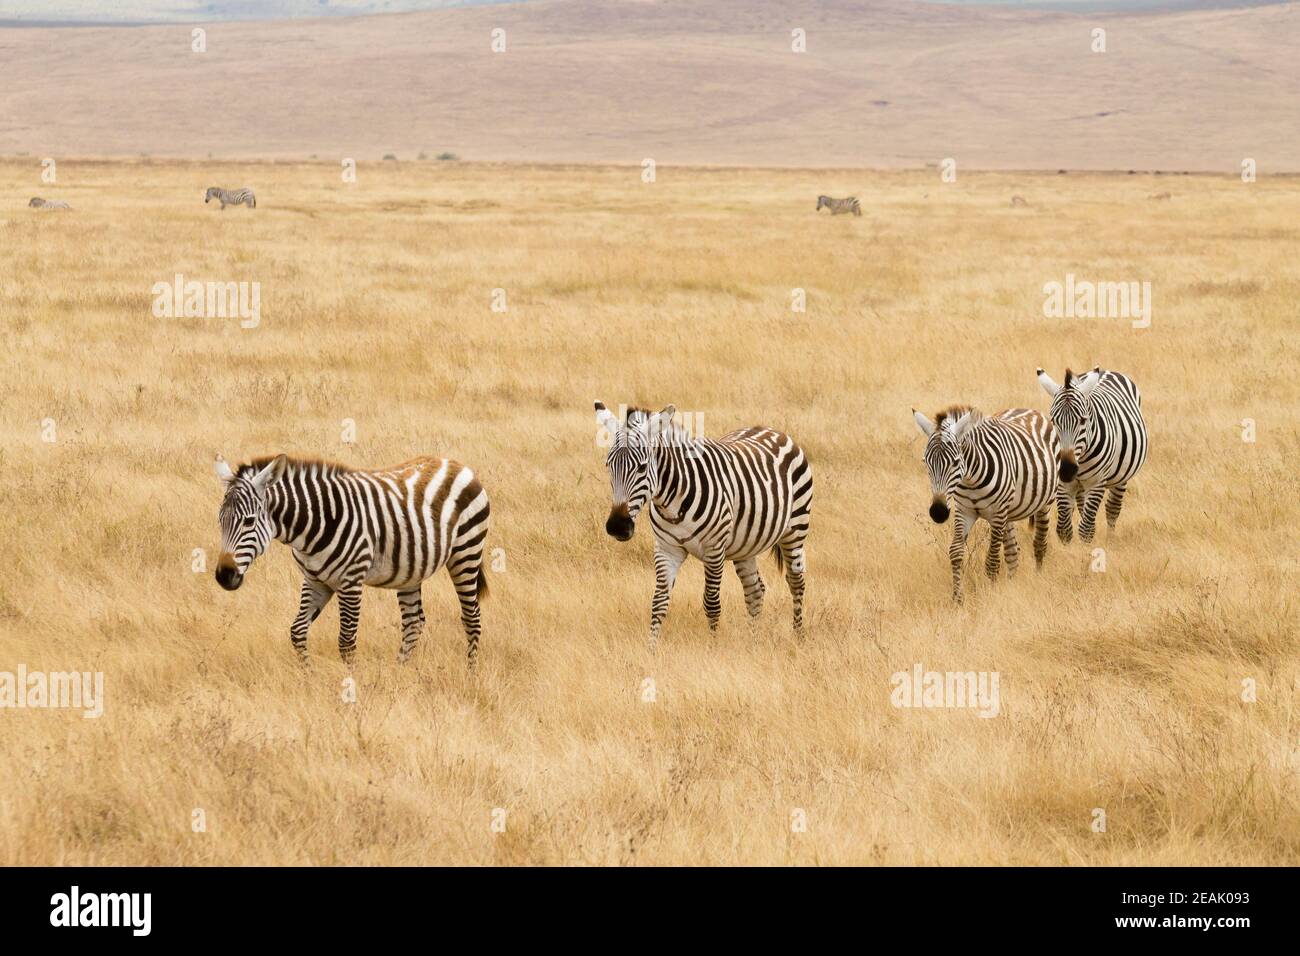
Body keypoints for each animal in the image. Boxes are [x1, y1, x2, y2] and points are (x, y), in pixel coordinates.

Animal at [213, 455, 488, 665]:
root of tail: (454, 463)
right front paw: (307, 677)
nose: (224, 576)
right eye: (220, 521)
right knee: (413, 622)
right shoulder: (315, 580)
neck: (314, 526)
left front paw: (350, 688)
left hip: (466, 552)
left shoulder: (351, 581)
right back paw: (401, 673)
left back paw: (470, 673)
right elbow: (298, 631)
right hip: (412, 568)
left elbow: (346, 641)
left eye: (249, 521)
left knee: (472, 617)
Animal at [595, 400, 811, 655]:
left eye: (642, 467)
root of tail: (772, 430)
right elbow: (658, 601)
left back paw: (798, 638)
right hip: (746, 544)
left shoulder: (714, 549)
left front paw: (713, 648)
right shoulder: (667, 549)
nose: (617, 527)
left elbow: (711, 602)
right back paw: (754, 644)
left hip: (795, 528)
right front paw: (651, 651)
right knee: (755, 590)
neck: (671, 502)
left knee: (796, 582)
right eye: (609, 466)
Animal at [909, 405, 1060, 600]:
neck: (970, 480)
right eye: (926, 463)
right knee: (1012, 552)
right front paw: (957, 598)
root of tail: (1027, 410)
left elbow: (992, 561)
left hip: (1044, 502)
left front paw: (991, 595)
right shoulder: (964, 511)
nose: (938, 512)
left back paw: (1037, 577)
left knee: (1039, 543)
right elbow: (956, 552)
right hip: (1008, 512)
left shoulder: (997, 512)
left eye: (956, 462)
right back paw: (1011, 584)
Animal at [1034, 369, 1149, 546]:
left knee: (1113, 508)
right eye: (1053, 420)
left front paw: (1085, 551)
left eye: (1083, 420)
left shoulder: (1097, 482)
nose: (1066, 470)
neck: (1080, 458)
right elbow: (1064, 529)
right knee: (1082, 506)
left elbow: (1086, 528)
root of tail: (1106, 371)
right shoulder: (1063, 484)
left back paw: (1110, 539)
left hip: (1121, 477)